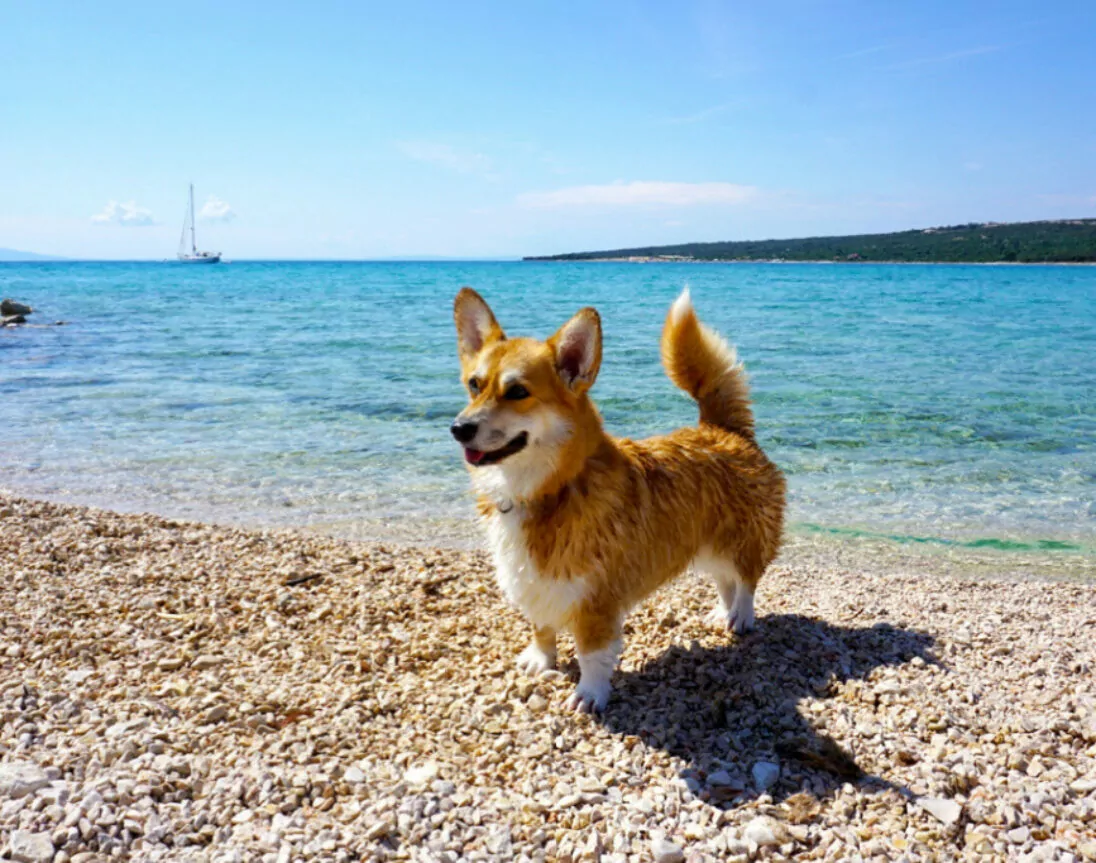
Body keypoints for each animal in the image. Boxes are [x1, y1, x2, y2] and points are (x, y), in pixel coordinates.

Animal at [449, 287, 784, 710]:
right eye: (475, 385)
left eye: (518, 392)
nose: (458, 428)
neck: (551, 488)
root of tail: (724, 429)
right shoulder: (534, 581)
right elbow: (542, 627)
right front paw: (541, 660)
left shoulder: (597, 600)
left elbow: (592, 654)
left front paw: (589, 696)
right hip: (706, 544)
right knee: (725, 581)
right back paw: (721, 615)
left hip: (741, 540)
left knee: (746, 579)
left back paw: (741, 617)